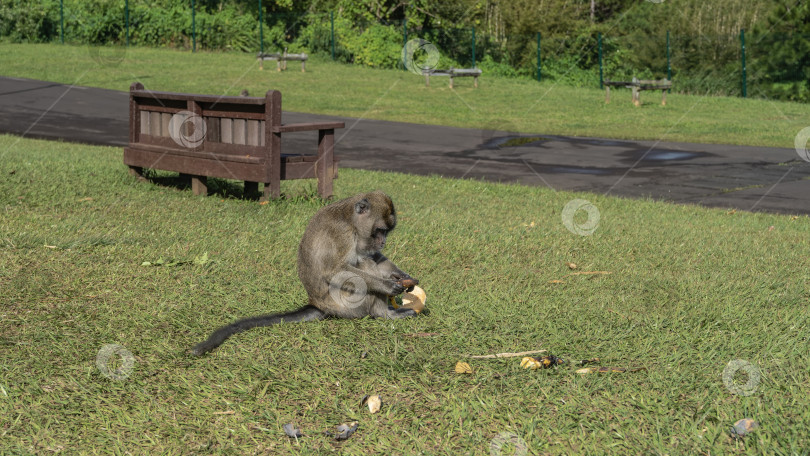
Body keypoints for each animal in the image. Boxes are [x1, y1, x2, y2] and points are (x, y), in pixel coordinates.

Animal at [189, 190, 416, 356]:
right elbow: (336, 271)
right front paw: (387, 285)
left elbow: (374, 255)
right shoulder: (342, 234)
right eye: (379, 231)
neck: (350, 220)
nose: (383, 241)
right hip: (347, 304)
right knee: (363, 266)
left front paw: (405, 277)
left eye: (386, 232)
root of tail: (317, 303)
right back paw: (384, 314)